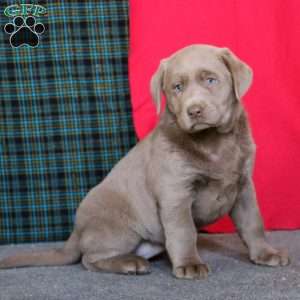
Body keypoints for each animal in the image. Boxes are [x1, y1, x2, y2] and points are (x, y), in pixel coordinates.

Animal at [0, 44, 290, 278]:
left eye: (210, 79)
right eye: (177, 87)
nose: (194, 110)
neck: (213, 142)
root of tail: (77, 231)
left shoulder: (243, 186)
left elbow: (253, 223)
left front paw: (266, 254)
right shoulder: (176, 193)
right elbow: (184, 231)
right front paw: (189, 264)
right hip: (119, 227)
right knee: (89, 259)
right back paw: (129, 264)